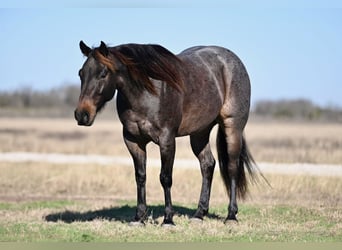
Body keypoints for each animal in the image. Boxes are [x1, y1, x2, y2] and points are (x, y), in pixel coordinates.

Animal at [74, 40, 256, 225]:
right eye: (81, 73)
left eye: (103, 73)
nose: (82, 114)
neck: (146, 92)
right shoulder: (133, 140)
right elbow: (140, 176)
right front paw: (139, 217)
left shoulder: (166, 139)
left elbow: (165, 177)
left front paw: (168, 219)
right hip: (199, 133)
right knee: (208, 164)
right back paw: (199, 214)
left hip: (232, 127)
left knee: (232, 167)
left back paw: (231, 215)